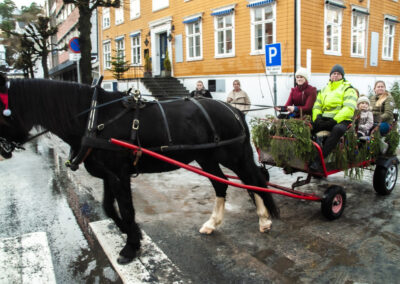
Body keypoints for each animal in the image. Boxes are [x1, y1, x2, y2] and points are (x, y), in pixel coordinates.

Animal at [0, 74, 278, 264]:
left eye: (2, 113)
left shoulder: (119, 176)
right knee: (225, 183)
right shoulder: (109, 176)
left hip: (232, 154)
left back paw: (264, 219)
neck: (93, 120)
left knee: (253, 179)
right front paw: (131, 233)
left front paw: (130, 246)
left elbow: (126, 209)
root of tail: (232, 109)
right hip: (207, 157)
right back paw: (214, 223)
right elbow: (108, 208)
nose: (3, 151)